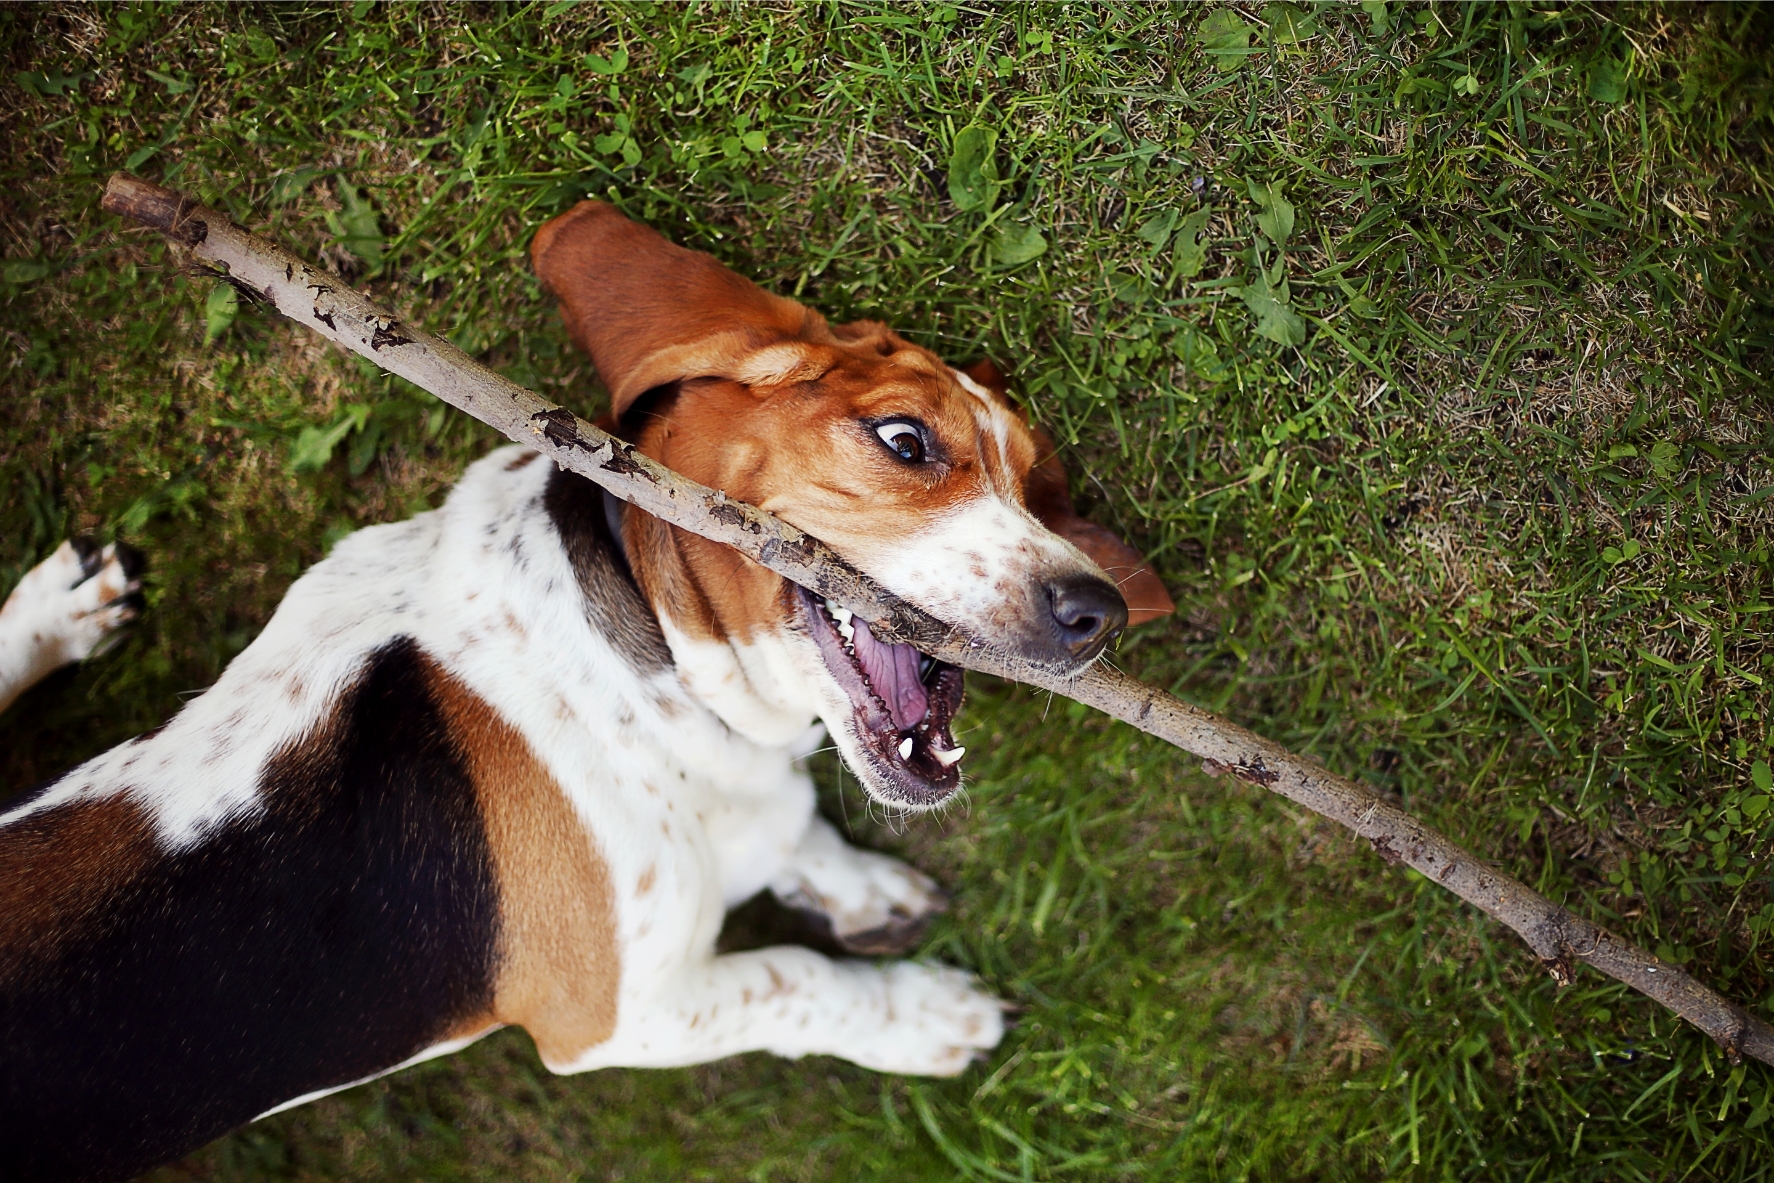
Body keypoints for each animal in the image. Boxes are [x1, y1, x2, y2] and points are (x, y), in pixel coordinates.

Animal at [3, 198, 1177, 1177]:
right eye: (904, 438)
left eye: (1038, 485)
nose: (1095, 612)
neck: (645, 654)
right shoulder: (617, 1019)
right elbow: (799, 980)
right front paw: (921, 1013)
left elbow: (797, 833)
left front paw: (853, 885)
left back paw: (57, 611)